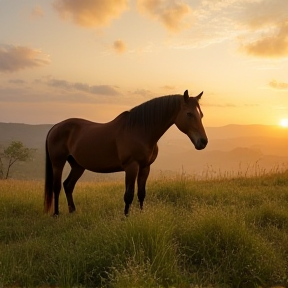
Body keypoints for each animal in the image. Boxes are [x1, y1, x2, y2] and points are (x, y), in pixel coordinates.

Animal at [44, 90, 208, 216]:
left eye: (201, 115)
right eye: (189, 114)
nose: (203, 142)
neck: (140, 130)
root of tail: (55, 127)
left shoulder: (145, 167)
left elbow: (141, 193)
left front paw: (141, 215)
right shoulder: (131, 167)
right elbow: (128, 195)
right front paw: (126, 218)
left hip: (78, 166)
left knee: (68, 185)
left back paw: (73, 211)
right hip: (58, 163)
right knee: (57, 187)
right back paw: (56, 214)